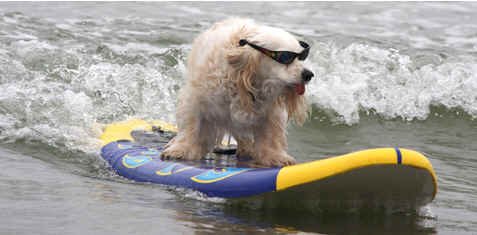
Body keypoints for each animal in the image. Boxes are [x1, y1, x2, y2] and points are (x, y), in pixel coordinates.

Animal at [162, 18, 314, 166]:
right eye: (285, 57)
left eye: (302, 57)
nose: (309, 74)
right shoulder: (195, 97)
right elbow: (191, 124)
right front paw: (182, 149)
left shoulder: (272, 111)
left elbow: (271, 133)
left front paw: (274, 156)